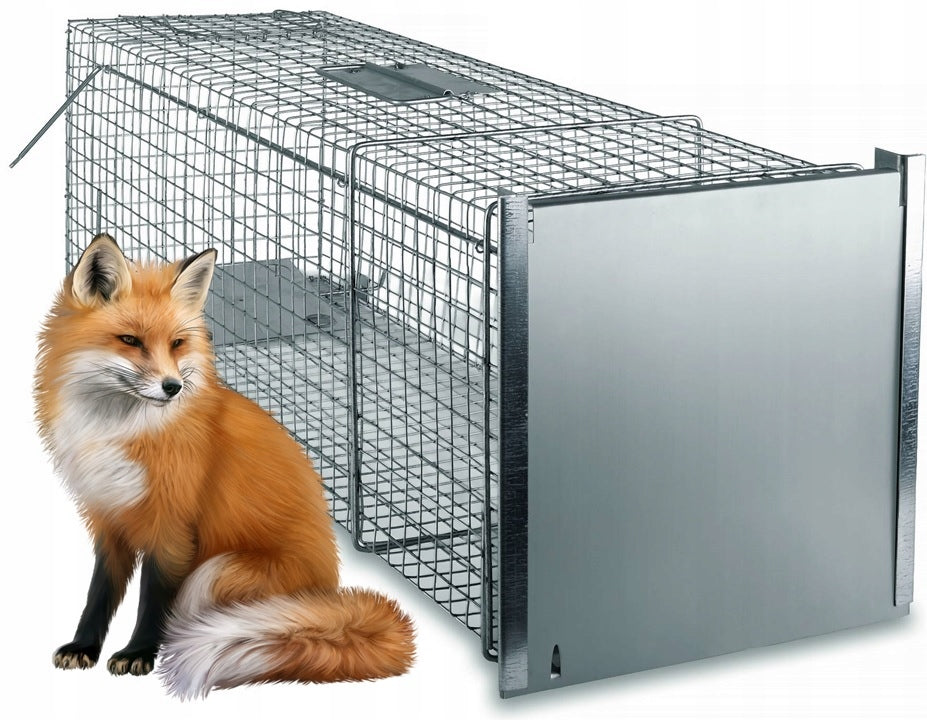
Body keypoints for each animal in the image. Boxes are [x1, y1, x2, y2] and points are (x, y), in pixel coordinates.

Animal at [34, 233, 415, 699]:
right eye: (130, 340)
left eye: (177, 343)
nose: (173, 387)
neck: (120, 429)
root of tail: (329, 591)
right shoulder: (108, 519)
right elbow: (98, 594)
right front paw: (84, 647)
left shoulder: (173, 527)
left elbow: (152, 600)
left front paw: (140, 653)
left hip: (215, 570)